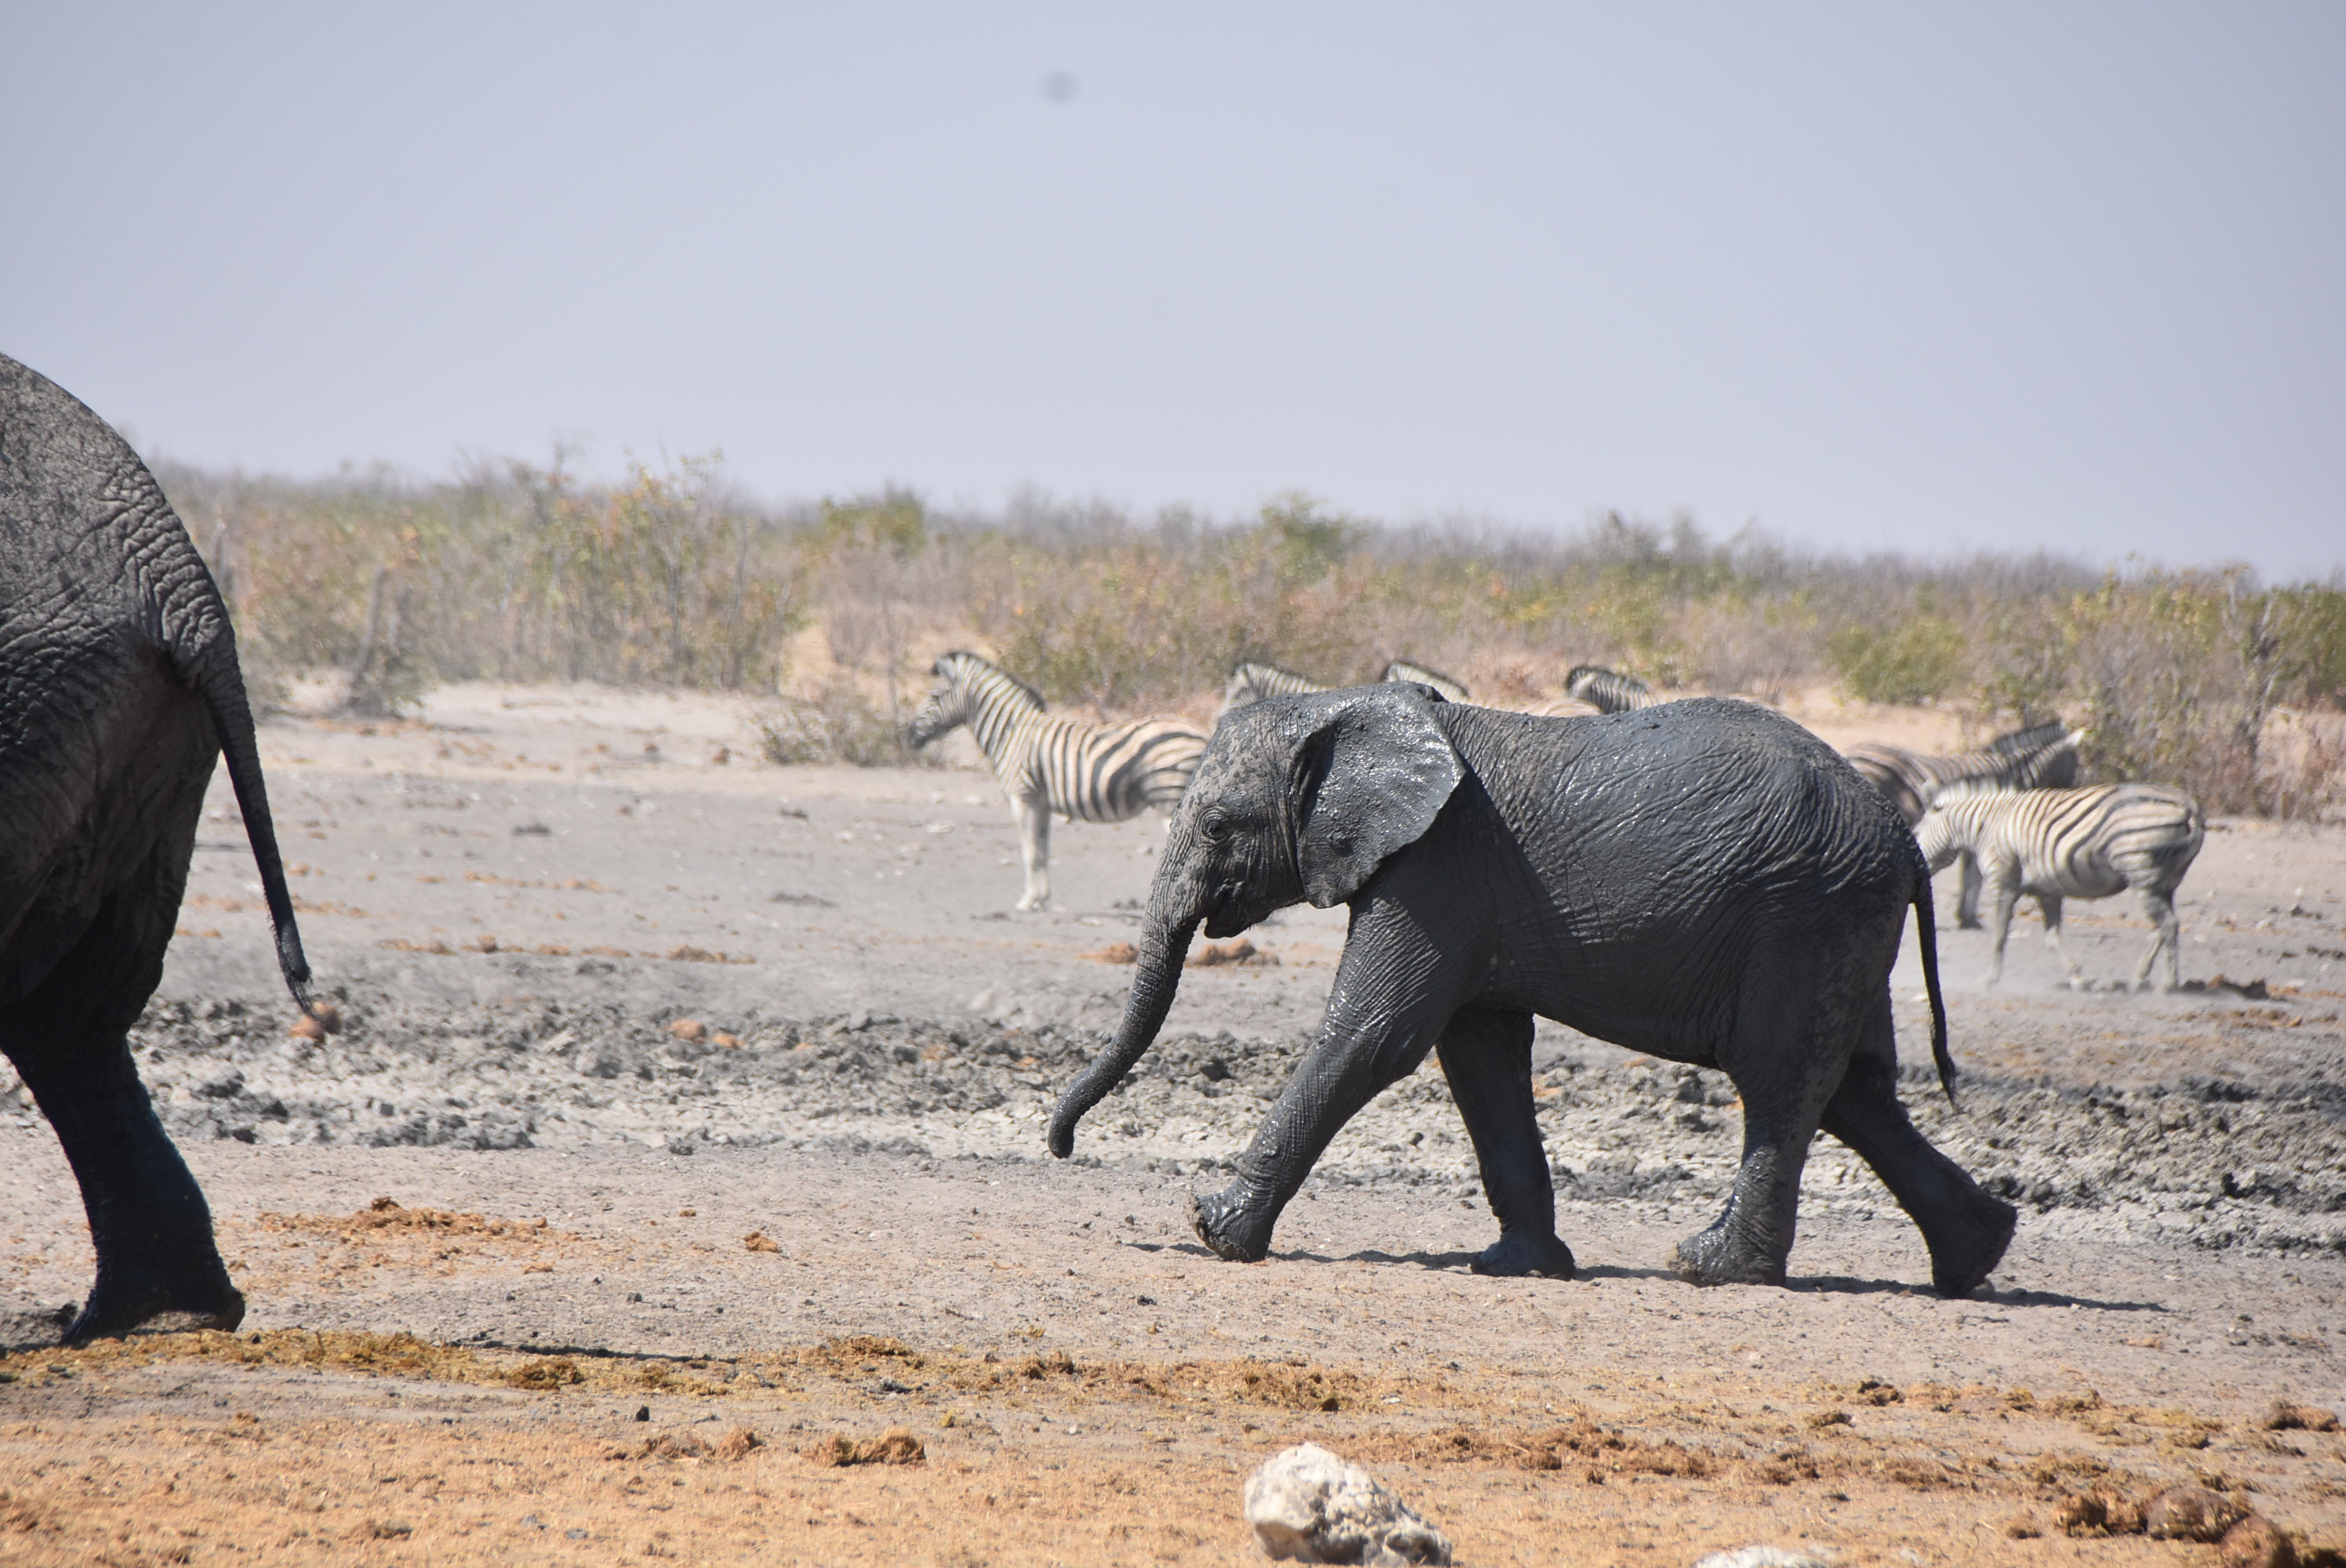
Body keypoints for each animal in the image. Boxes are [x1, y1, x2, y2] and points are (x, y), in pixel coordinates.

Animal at [906, 651, 1208, 911]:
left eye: (934, 696)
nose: (907, 737)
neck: (1011, 733)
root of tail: (1202, 731)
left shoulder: (1022, 797)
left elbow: (1029, 851)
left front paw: (1028, 900)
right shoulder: (1041, 803)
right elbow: (1042, 850)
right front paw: (1041, 899)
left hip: (1171, 799)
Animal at [1047, 685, 2017, 1297]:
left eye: (1219, 824)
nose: (1061, 1148)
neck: (1350, 706)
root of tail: (1903, 835)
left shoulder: (1435, 868)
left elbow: (1374, 1034)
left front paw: (1212, 1229)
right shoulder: (1465, 893)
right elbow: (1478, 1055)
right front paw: (1517, 1265)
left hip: (1806, 915)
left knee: (1780, 1081)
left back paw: (1709, 1269)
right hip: (1841, 924)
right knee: (1857, 1090)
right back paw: (1975, 1258)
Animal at [1914, 782, 2205, 991]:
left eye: (1915, 833)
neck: (1986, 827)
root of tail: (2188, 804)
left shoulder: (2003, 882)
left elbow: (1999, 935)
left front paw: (1988, 980)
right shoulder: (2048, 892)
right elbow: (2053, 938)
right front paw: (2078, 979)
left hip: (2141, 873)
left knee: (2167, 925)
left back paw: (2168, 984)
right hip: (2163, 882)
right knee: (2163, 927)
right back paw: (2139, 979)